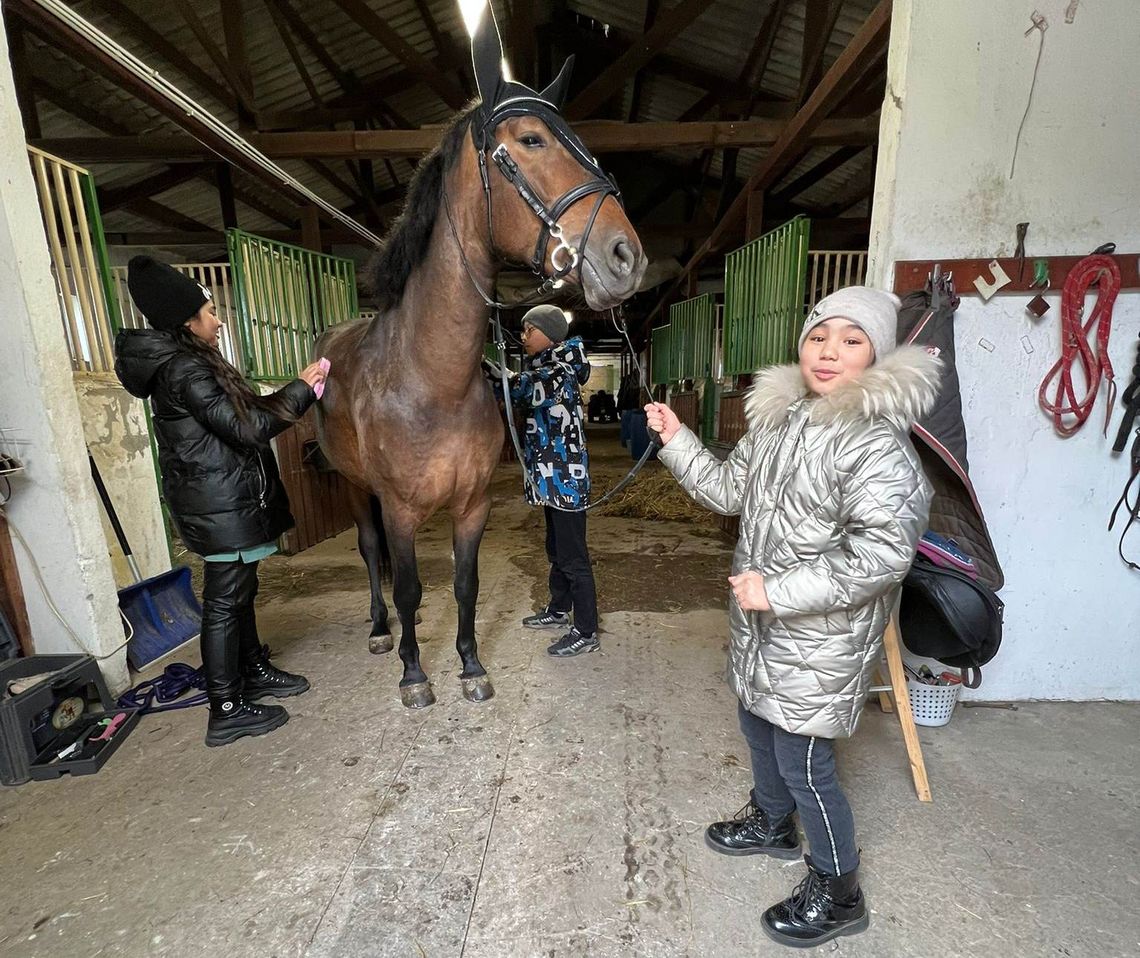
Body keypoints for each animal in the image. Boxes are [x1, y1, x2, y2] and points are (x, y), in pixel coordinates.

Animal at [316, 14, 647, 707]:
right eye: (531, 140)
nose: (626, 255)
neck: (430, 381)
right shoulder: (402, 510)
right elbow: (409, 584)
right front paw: (416, 675)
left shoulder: (472, 507)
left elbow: (464, 584)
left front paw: (470, 667)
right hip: (357, 490)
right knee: (369, 552)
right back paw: (382, 631)